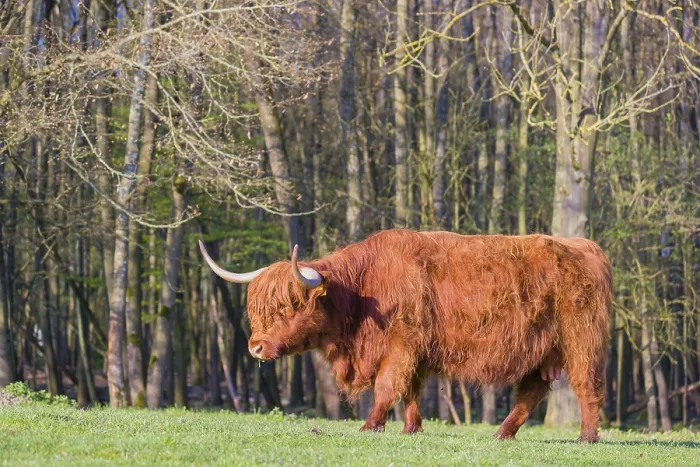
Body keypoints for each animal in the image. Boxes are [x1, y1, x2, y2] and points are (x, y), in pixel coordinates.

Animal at [199, 229, 612, 442]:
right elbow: (411, 390)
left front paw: (371, 425)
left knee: (587, 386)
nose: (256, 347)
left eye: (287, 307)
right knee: (532, 391)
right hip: (541, 352)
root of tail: (586, 246)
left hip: (581, 341)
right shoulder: (417, 352)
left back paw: (587, 437)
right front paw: (412, 428)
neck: (362, 290)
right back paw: (503, 433)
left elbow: (387, 385)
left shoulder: (402, 343)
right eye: (258, 310)